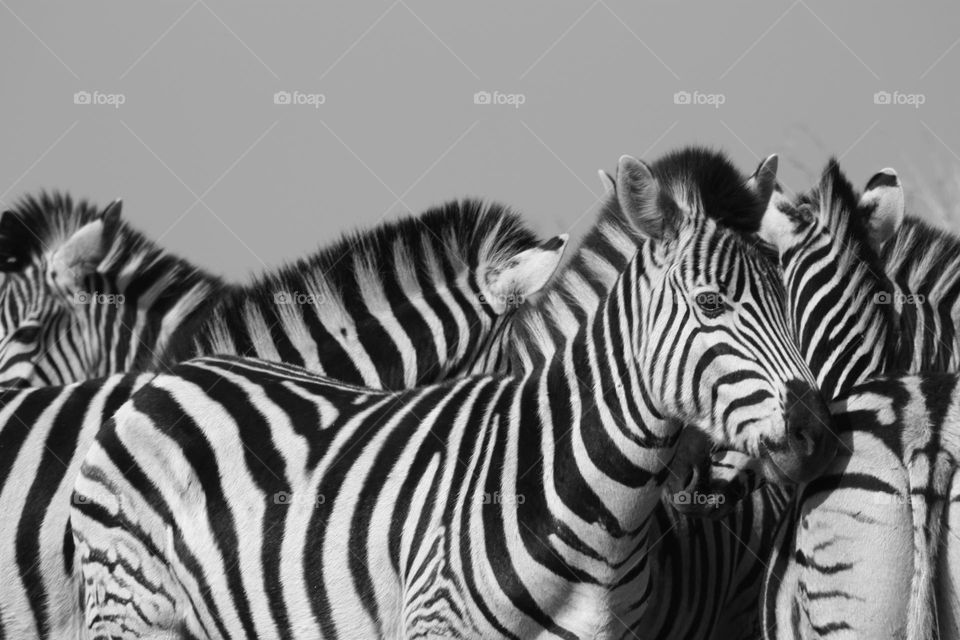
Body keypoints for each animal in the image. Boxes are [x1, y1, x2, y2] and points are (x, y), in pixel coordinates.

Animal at [70, 148, 837, 639]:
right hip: (130, 607)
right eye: (710, 304)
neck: (601, 517)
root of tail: (167, 377)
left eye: (787, 296)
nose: (816, 435)